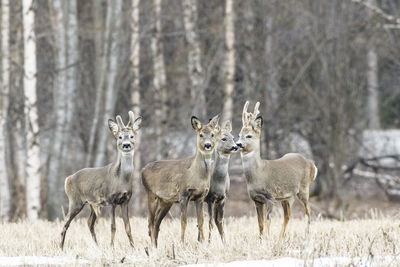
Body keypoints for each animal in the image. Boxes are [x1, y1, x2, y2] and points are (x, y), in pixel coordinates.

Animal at [58, 111, 141, 251]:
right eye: (119, 137)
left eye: (131, 136)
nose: (126, 145)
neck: (121, 179)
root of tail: (68, 179)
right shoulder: (112, 200)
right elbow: (113, 226)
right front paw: (112, 247)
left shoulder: (125, 201)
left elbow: (128, 227)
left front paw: (134, 248)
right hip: (75, 200)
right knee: (66, 222)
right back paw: (61, 248)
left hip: (92, 203)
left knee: (89, 222)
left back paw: (97, 246)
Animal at [142, 115, 220, 249]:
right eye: (201, 135)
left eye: (212, 134)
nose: (208, 145)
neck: (197, 175)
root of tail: (142, 170)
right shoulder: (184, 195)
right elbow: (184, 221)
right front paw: (182, 244)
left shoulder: (200, 197)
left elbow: (201, 221)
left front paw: (203, 243)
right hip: (151, 194)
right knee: (151, 221)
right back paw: (152, 247)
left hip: (166, 201)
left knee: (156, 222)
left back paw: (156, 246)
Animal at [236, 102, 318, 241]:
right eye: (238, 135)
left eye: (249, 136)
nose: (238, 144)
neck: (259, 174)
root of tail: (311, 164)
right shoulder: (257, 200)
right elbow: (260, 223)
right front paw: (261, 239)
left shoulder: (271, 197)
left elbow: (268, 220)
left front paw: (267, 239)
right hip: (287, 197)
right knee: (288, 216)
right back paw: (281, 237)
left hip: (303, 189)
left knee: (308, 210)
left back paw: (306, 234)